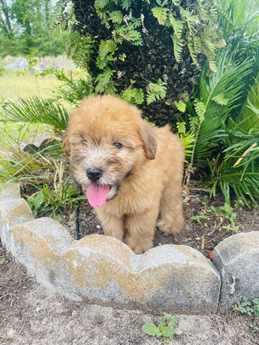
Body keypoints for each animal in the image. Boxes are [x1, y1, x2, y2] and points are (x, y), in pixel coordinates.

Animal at [63, 94, 186, 253]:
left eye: (117, 145)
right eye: (83, 142)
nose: (93, 173)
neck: (124, 188)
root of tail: (168, 132)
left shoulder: (144, 208)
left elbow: (140, 229)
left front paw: (137, 248)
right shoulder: (108, 212)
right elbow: (112, 229)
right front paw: (113, 244)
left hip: (172, 180)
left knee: (172, 203)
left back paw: (171, 225)